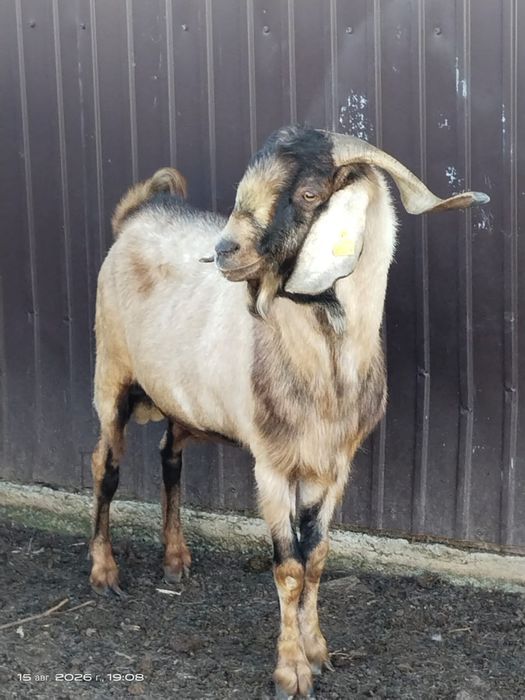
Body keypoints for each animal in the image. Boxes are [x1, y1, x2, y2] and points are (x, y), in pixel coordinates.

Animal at [90, 126, 488, 698]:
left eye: (307, 193)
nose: (224, 251)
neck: (326, 371)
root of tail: (138, 214)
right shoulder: (273, 465)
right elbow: (290, 567)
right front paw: (291, 670)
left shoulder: (334, 465)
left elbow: (317, 557)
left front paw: (318, 650)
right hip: (111, 375)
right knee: (106, 467)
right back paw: (104, 574)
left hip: (181, 399)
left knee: (170, 457)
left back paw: (175, 559)